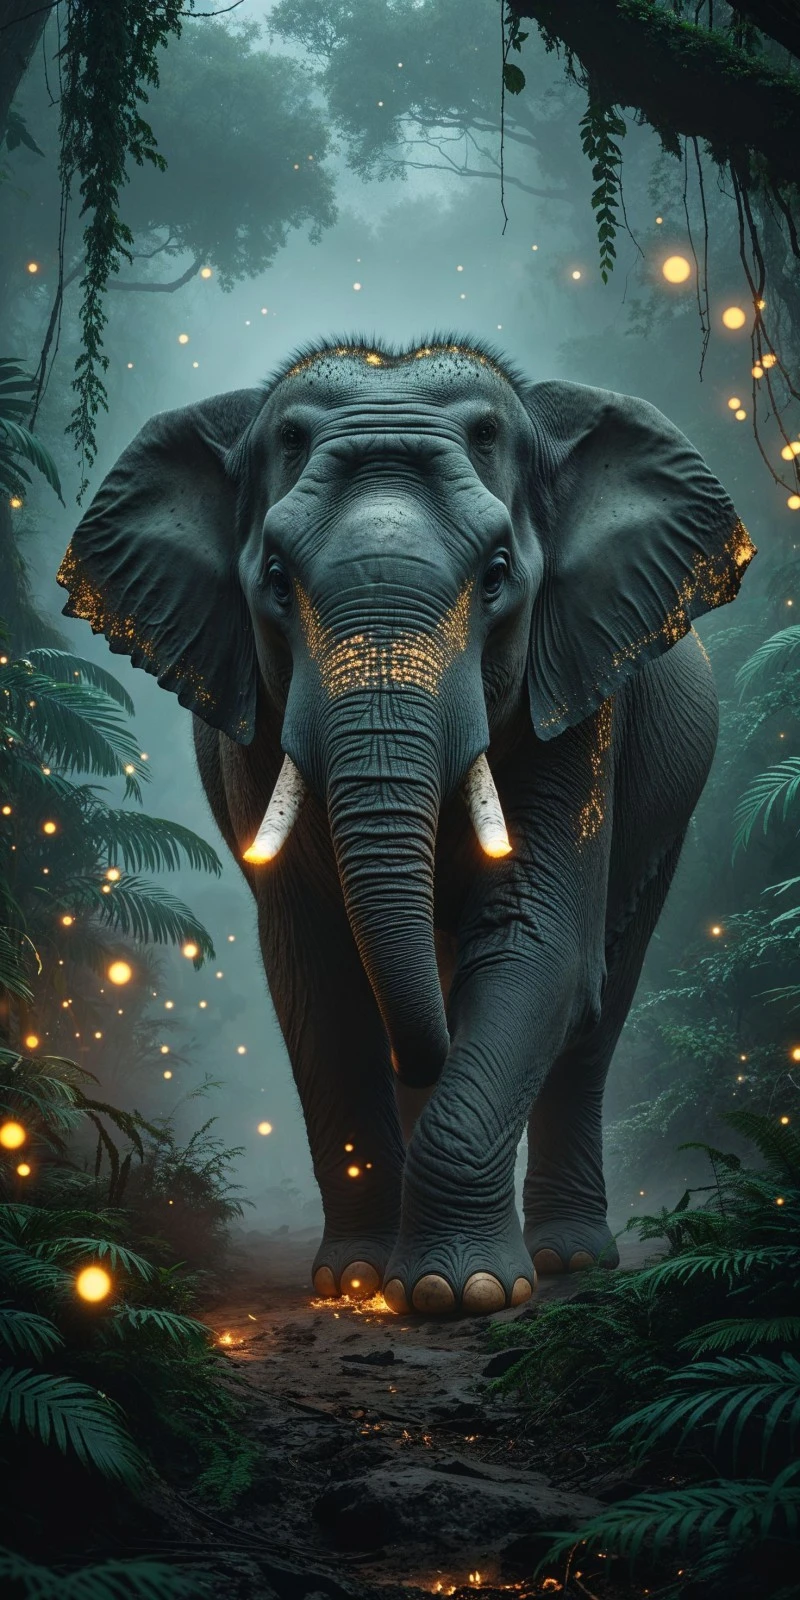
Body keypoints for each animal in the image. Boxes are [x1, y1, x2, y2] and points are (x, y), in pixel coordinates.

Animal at [57, 336, 755, 1316]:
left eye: (498, 577)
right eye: (276, 583)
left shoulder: (580, 708)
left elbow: (538, 942)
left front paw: (454, 1293)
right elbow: (316, 969)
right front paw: (353, 1281)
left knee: (595, 1007)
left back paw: (571, 1261)